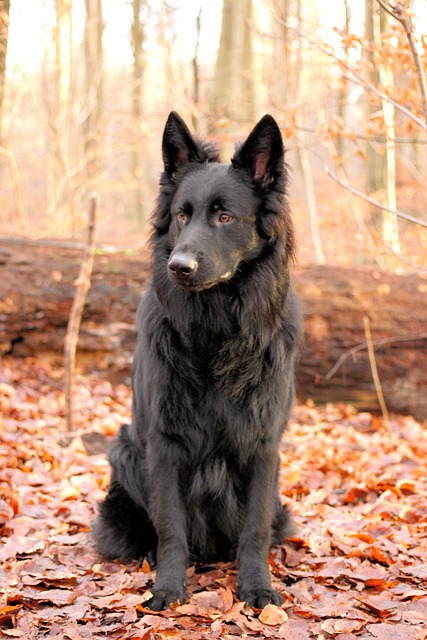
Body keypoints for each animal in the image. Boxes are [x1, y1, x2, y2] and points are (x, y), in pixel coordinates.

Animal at [95, 111, 302, 608]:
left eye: (224, 216)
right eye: (181, 214)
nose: (179, 266)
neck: (215, 331)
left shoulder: (262, 444)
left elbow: (253, 531)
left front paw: (257, 587)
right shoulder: (165, 444)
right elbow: (171, 527)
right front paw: (168, 588)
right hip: (125, 453)